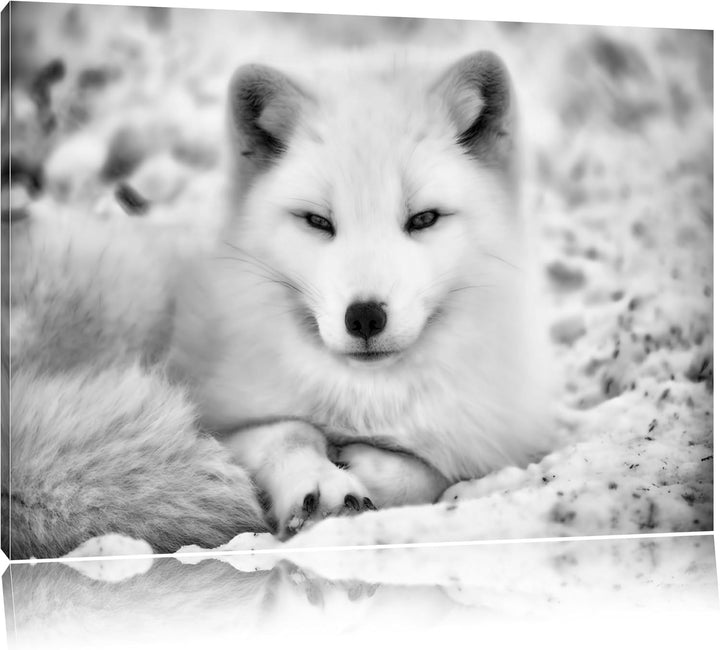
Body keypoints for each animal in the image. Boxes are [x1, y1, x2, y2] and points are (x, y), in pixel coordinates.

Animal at [4, 49, 555, 558]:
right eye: (317, 221)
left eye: (423, 219)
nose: (365, 316)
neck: (364, 399)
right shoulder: (220, 423)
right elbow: (287, 431)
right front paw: (323, 485)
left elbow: (431, 471)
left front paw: (370, 467)